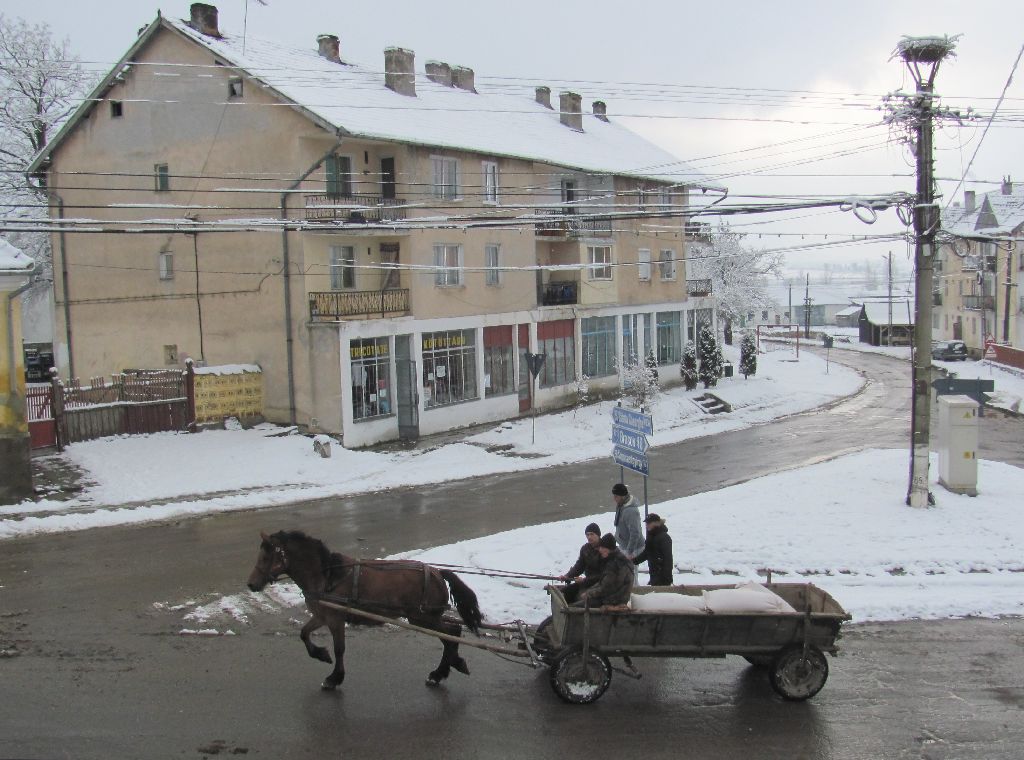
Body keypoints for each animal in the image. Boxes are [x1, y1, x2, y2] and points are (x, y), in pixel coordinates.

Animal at [249, 532, 485, 692]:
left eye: (265, 557)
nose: (251, 584)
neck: (327, 576)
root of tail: (436, 572)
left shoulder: (335, 619)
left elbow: (339, 649)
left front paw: (334, 678)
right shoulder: (322, 616)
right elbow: (304, 634)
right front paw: (321, 654)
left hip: (422, 617)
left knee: (451, 634)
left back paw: (443, 671)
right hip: (424, 617)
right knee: (451, 635)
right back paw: (447, 668)